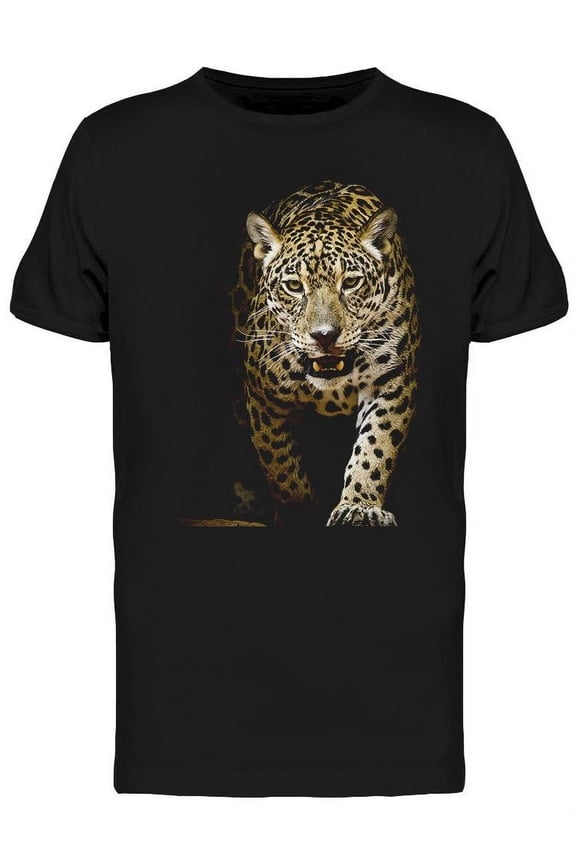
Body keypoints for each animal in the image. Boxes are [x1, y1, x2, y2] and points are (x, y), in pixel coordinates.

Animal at [231, 179, 421, 527]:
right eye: (294, 286)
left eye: (351, 282)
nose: (324, 336)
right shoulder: (263, 399)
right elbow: (280, 466)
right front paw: (301, 512)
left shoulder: (392, 382)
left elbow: (376, 448)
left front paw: (359, 507)